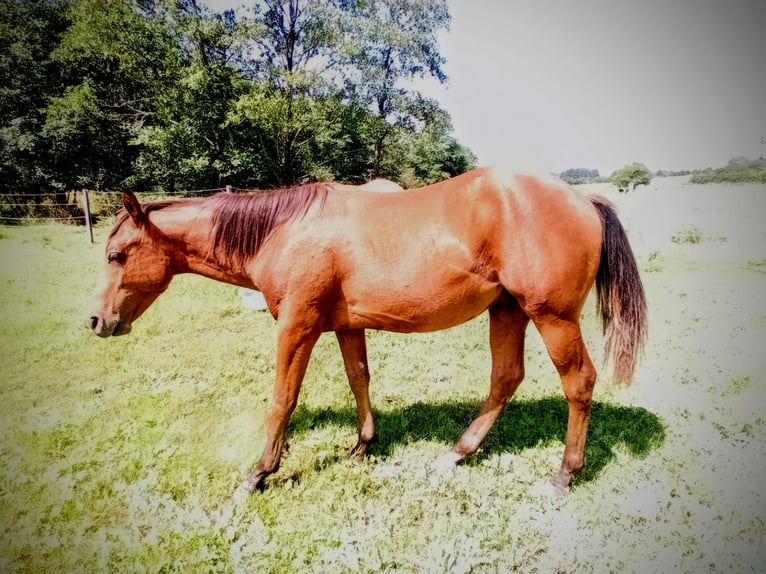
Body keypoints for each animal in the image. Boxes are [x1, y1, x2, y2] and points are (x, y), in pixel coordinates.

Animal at [93, 168, 652, 496]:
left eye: (116, 254)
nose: (97, 321)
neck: (285, 230)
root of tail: (583, 199)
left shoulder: (298, 325)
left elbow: (282, 398)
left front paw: (259, 472)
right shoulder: (344, 326)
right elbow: (358, 378)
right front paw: (362, 445)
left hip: (552, 317)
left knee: (578, 383)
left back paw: (565, 472)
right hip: (508, 311)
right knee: (505, 377)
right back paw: (457, 453)